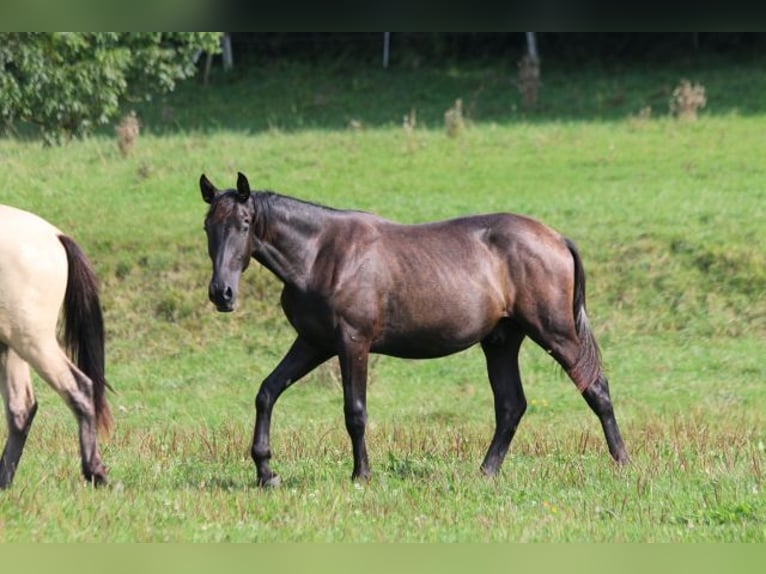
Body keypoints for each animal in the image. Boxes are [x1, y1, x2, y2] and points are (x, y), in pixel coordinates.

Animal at [0, 205, 112, 488]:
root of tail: (55, 235)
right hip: (11, 344)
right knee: (20, 410)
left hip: (33, 342)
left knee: (79, 388)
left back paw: (95, 471)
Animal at [200, 173, 632, 488]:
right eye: (208, 226)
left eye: (244, 224)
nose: (221, 293)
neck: (321, 254)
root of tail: (556, 238)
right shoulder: (313, 343)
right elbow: (267, 392)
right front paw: (266, 472)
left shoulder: (352, 343)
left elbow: (355, 411)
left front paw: (361, 475)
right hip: (501, 341)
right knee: (511, 405)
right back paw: (485, 472)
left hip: (555, 333)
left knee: (596, 389)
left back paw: (623, 463)